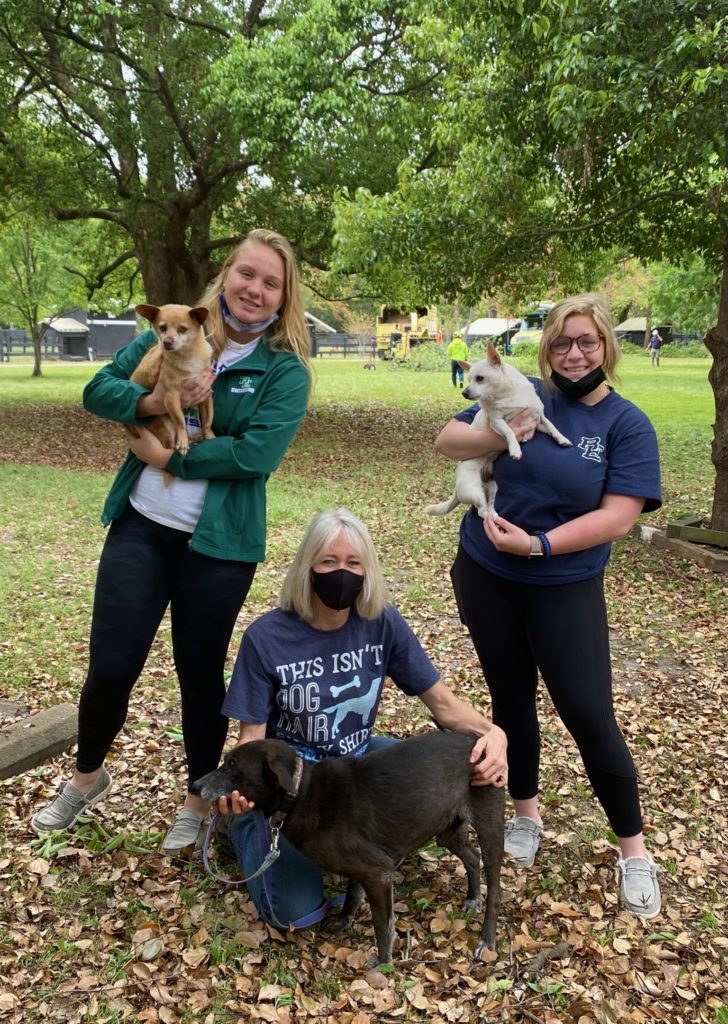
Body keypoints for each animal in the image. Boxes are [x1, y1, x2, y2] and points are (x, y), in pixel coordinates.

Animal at [190, 733, 503, 962]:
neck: (301, 794)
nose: (194, 786)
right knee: (472, 858)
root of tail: (479, 740)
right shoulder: (361, 868)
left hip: (490, 832)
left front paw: (384, 962)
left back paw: (486, 938)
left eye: (233, 766)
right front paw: (343, 920)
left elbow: (382, 924)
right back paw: (473, 897)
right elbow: (352, 893)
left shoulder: (378, 872)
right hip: (447, 832)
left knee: (495, 891)